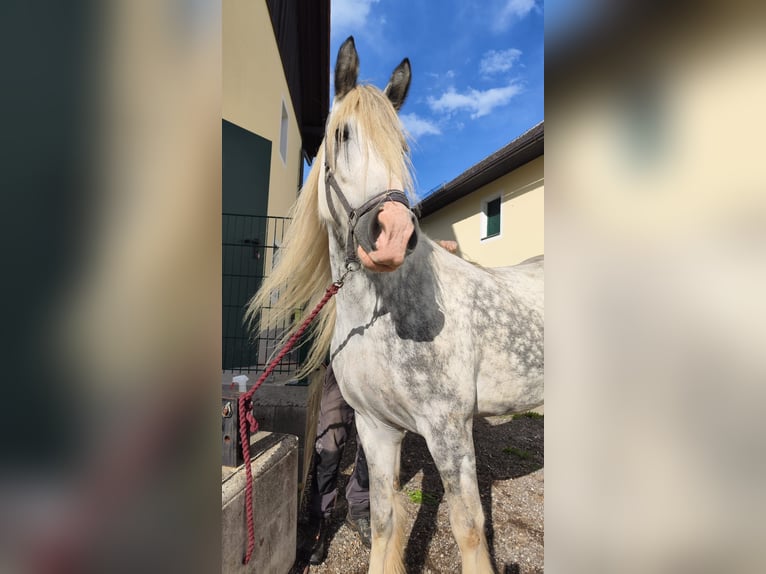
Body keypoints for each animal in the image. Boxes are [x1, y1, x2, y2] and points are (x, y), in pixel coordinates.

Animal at [248, 36, 544, 574]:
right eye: (342, 134)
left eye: (402, 148)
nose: (393, 235)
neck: (385, 315)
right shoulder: (375, 428)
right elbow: (385, 520)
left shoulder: (449, 429)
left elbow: (469, 528)